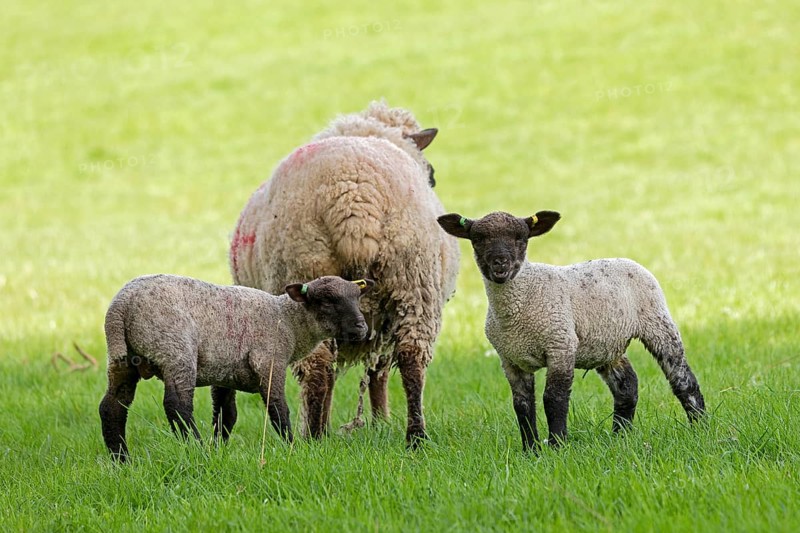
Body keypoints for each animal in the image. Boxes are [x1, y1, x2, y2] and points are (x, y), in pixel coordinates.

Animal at [98, 274, 374, 462]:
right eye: (326, 302)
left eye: (357, 297)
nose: (362, 328)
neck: (288, 320)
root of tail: (120, 307)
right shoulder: (269, 360)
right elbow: (278, 409)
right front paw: (292, 447)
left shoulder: (225, 374)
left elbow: (226, 416)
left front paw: (219, 448)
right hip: (175, 349)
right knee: (177, 405)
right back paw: (197, 449)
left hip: (123, 362)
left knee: (111, 407)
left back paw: (121, 460)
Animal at [230, 101, 460, 446]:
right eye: (431, 174)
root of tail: (354, 197)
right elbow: (377, 373)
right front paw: (380, 422)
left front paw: (378, 422)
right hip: (412, 284)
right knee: (409, 361)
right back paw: (411, 437)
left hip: (320, 276)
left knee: (323, 368)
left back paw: (318, 436)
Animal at [437, 210, 705, 451]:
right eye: (477, 238)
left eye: (521, 237)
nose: (500, 263)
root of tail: (626, 260)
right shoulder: (510, 360)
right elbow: (522, 404)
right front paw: (531, 450)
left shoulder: (560, 345)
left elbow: (553, 398)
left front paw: (557, 446)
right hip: (606, 344)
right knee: (626, 385)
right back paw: (620, 436)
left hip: (657, 322)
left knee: (682, 378)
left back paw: (699, 426)